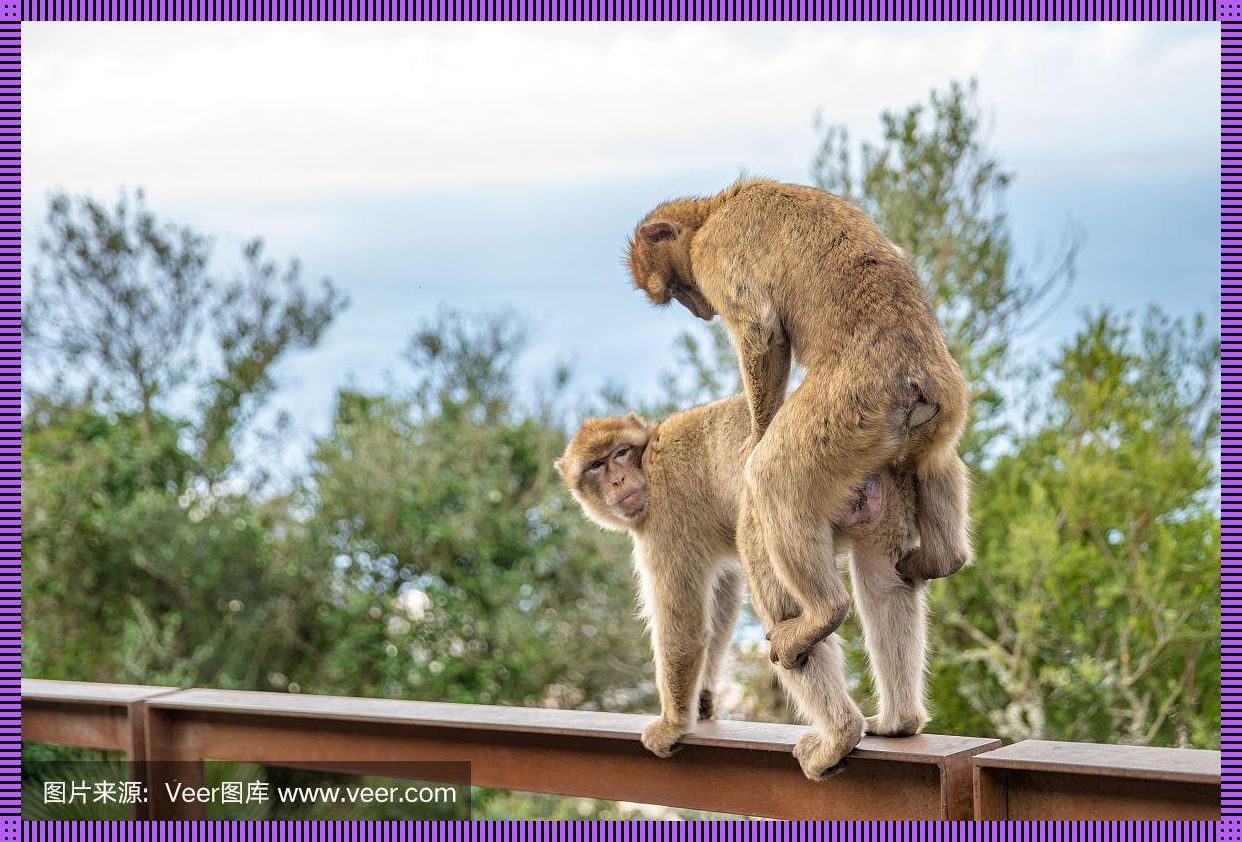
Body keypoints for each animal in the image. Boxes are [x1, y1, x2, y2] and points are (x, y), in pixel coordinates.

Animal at [556, 397, 933, 784]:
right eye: (596, 465)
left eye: (620, 452)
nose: (617, 479)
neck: (647, 459)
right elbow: (722, 600)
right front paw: (703, 697)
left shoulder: (664, 520)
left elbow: (685, 630)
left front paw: (673, 723)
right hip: (884, 495)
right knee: (886, 587)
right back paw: (899, 721)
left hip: (784, 507)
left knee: (784, 609)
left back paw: (839, 734)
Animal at [625, 180, 973, 700]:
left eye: (676, 288)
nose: (700, 311)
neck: (713, 211)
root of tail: (919, 385)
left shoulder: (715, 252)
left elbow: (762, 333)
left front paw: (756, 432)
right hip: (944, 408)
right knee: (939, 463)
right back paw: (942, 558)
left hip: (852, 408)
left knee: (772, 480)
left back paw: (823, 613)